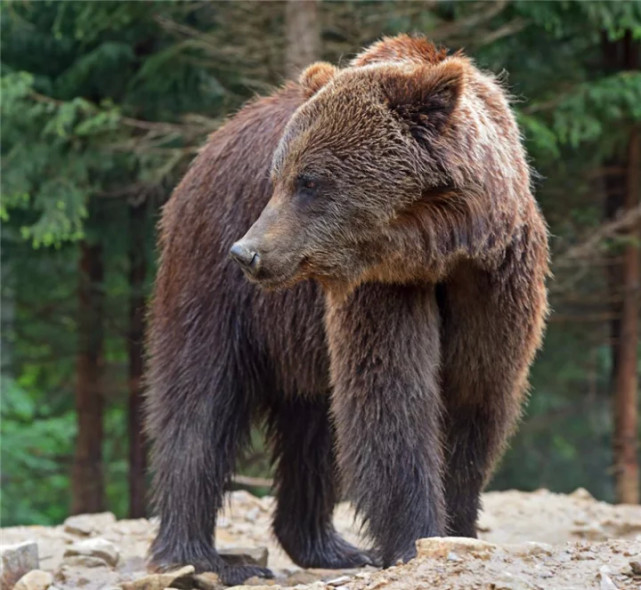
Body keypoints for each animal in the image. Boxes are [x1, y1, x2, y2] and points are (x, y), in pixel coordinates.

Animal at [144, 35, 544, 588]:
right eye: (277, 178)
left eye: (308, 181)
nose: (248, 253)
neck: (439, 247)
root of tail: (212, 142)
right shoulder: (378, 290)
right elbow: (392, 399)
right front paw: (413, 539)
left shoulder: (493, 280)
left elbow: (474, 393)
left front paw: (459, 530)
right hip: (212, 277)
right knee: (200, 401)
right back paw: (203, 558)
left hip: (299, 335)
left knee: (313, 427)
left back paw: (329, 547)